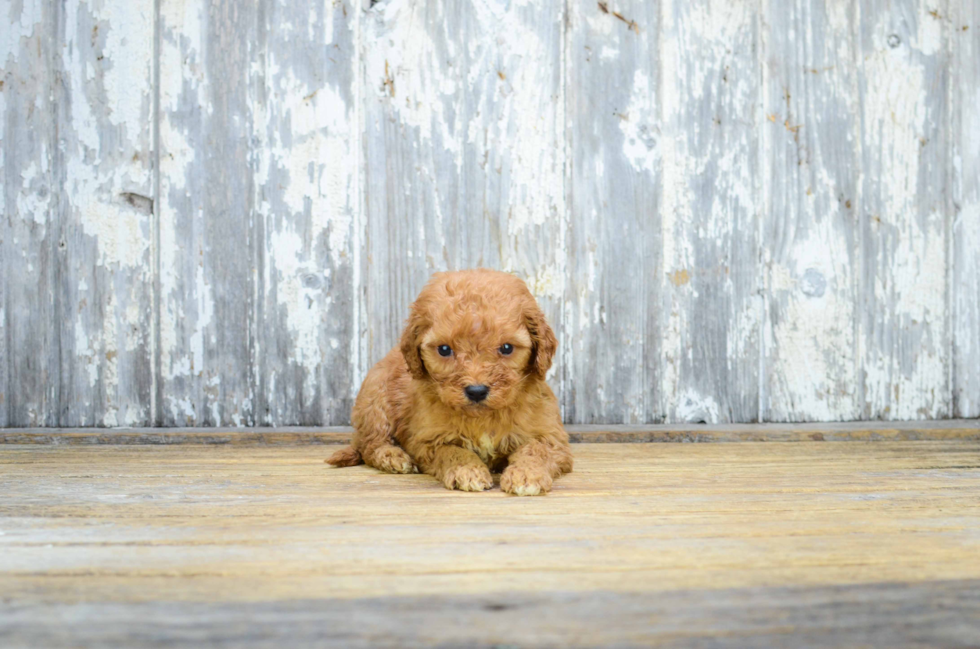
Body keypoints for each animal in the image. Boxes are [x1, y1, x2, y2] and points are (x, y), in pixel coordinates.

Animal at [330, 268, 576, 496]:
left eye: (507, 348)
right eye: (444, 349)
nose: (476, 391)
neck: (482, 418)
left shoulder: (551, 438)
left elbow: (536, 450)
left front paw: (526, 474)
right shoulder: (426, 441)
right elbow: (453, 452)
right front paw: (467, 470)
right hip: (375, 401)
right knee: (369, 444)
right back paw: (392, 457)